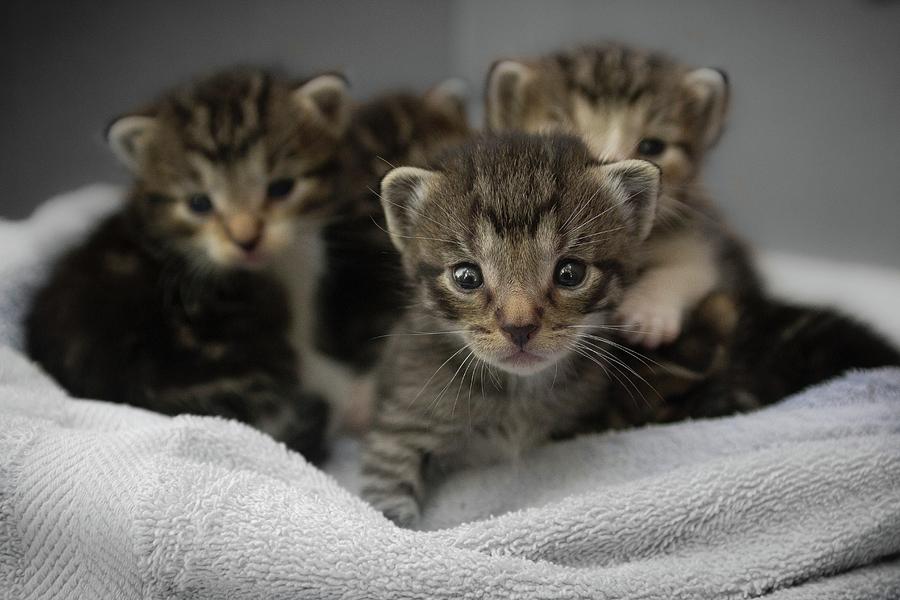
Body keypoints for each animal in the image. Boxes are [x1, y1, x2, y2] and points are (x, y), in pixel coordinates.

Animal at [358, 132, 660, 524]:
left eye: (570, 273)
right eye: (467, 276)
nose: (519, 327)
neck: (517, 395)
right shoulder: (401, 427)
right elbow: (387, 499)